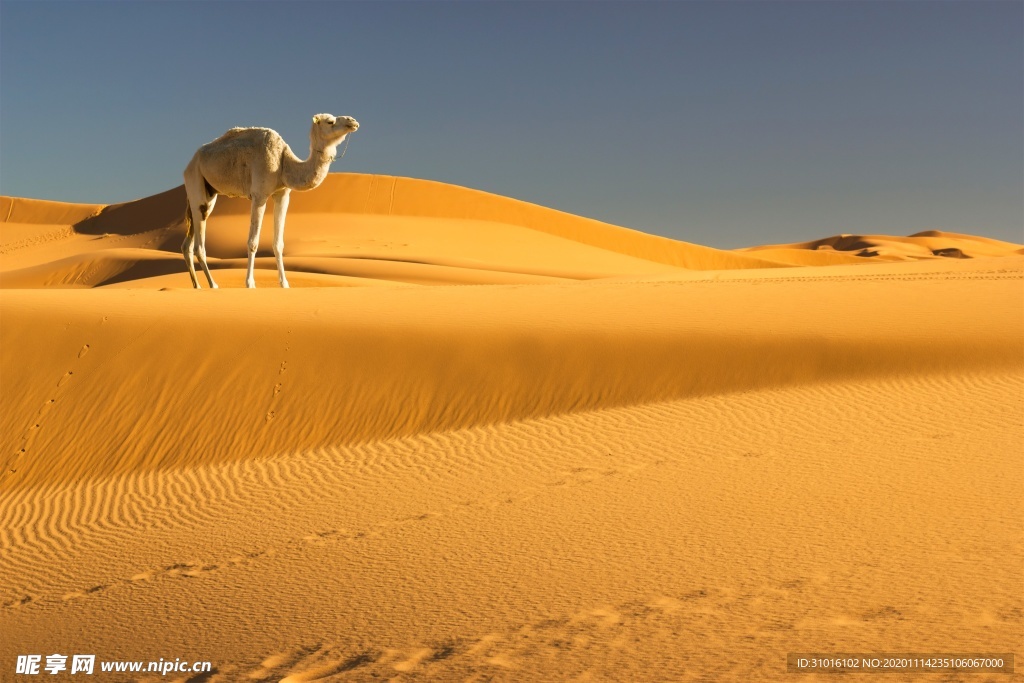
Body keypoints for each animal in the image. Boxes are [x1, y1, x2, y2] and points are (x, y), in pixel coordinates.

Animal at [182, 112, 358, 288]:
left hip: (209, 194)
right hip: (195, 179)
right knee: (199, 245)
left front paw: (285, 284)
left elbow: (278, 243)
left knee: (188, 244)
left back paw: (197, 285)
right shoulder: (259, 195)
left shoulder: (283, 194)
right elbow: (252, 242)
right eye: (330, 121)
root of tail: (190, 163)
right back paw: (213, 285)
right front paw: (250, 283)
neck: (284, 163)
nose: (353, 121)